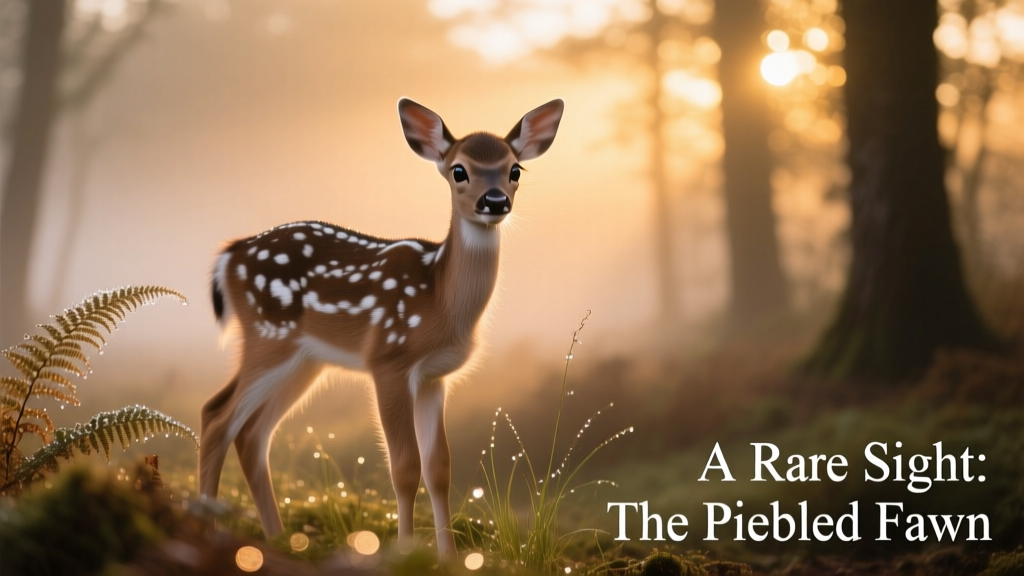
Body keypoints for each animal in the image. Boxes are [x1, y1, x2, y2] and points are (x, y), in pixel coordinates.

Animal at [200, 98, 564, 557]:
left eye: (515, 169)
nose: (495, 201)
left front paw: (448, 558)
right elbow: (404, 466)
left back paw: (279, 540)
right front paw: (407, 553)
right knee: (216, 416)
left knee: (251, 432)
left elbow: (439, 467)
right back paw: (206, 529)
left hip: (303, 361)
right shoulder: (389, 360)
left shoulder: (434, 376)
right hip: (269, 338)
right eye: (458, 170)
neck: (440, 301)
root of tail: (227, 257)